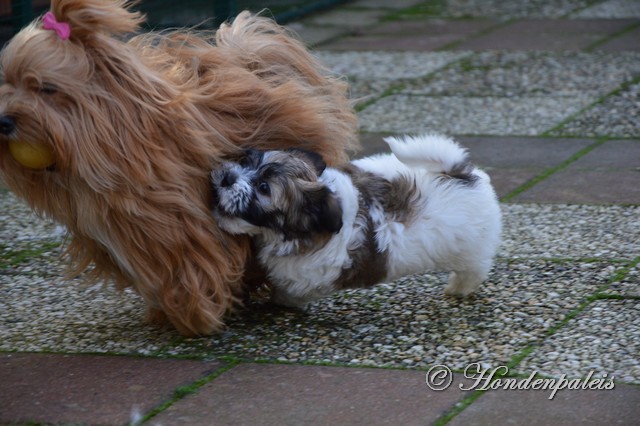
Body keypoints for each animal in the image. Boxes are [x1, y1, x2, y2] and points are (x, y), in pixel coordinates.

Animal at [0, 1, 360, 338]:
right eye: (7, 84)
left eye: (46, 88)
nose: (4, 121)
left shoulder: (181, 224)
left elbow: (192, 264)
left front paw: (195, 315)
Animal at [212, 135, 502, 308]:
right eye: (247, 161)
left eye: (263, 188)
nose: (227, 177)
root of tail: (461, 175)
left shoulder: (309, 278)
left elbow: (291, 293)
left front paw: (277, 303)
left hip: (470, 249)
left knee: (475, 268)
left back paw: (458, 288)